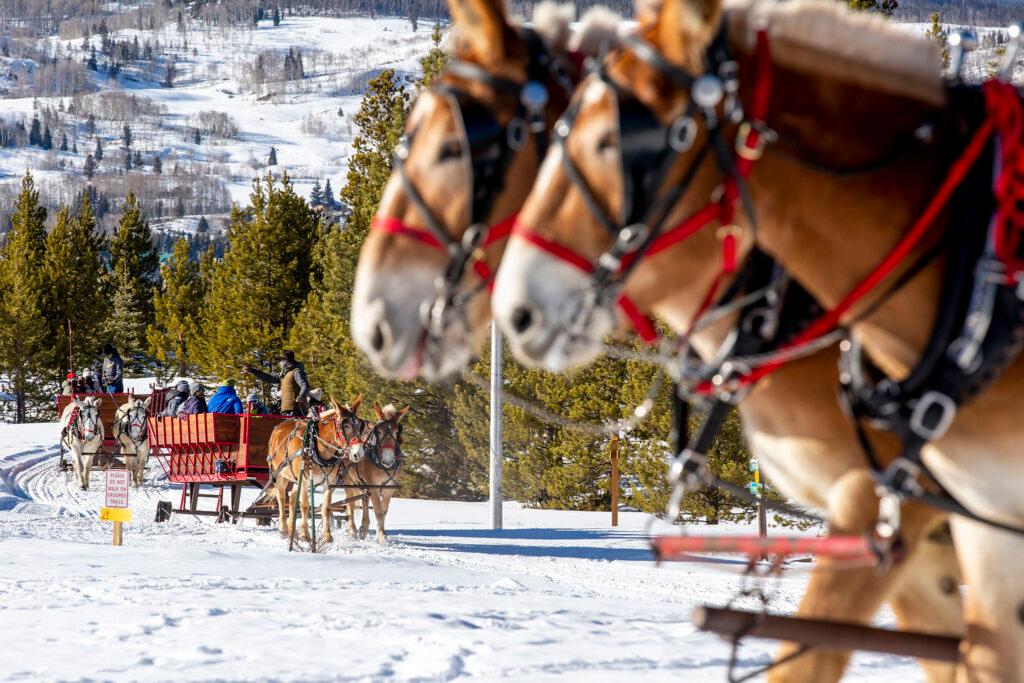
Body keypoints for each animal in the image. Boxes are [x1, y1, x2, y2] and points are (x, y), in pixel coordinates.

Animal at [266, 395, 370, 544]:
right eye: (346, 426)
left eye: (360, 426)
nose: (359, 454)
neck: (316, 447)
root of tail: (278, 427)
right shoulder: (304, 480)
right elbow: (304, 505)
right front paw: (305, 535)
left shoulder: (329, 482)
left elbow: (326, 508)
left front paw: (327, 535)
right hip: (280, 474)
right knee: (281, 498)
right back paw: (284, 529)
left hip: (296, 478)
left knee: (292, 499)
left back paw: (292, 529)